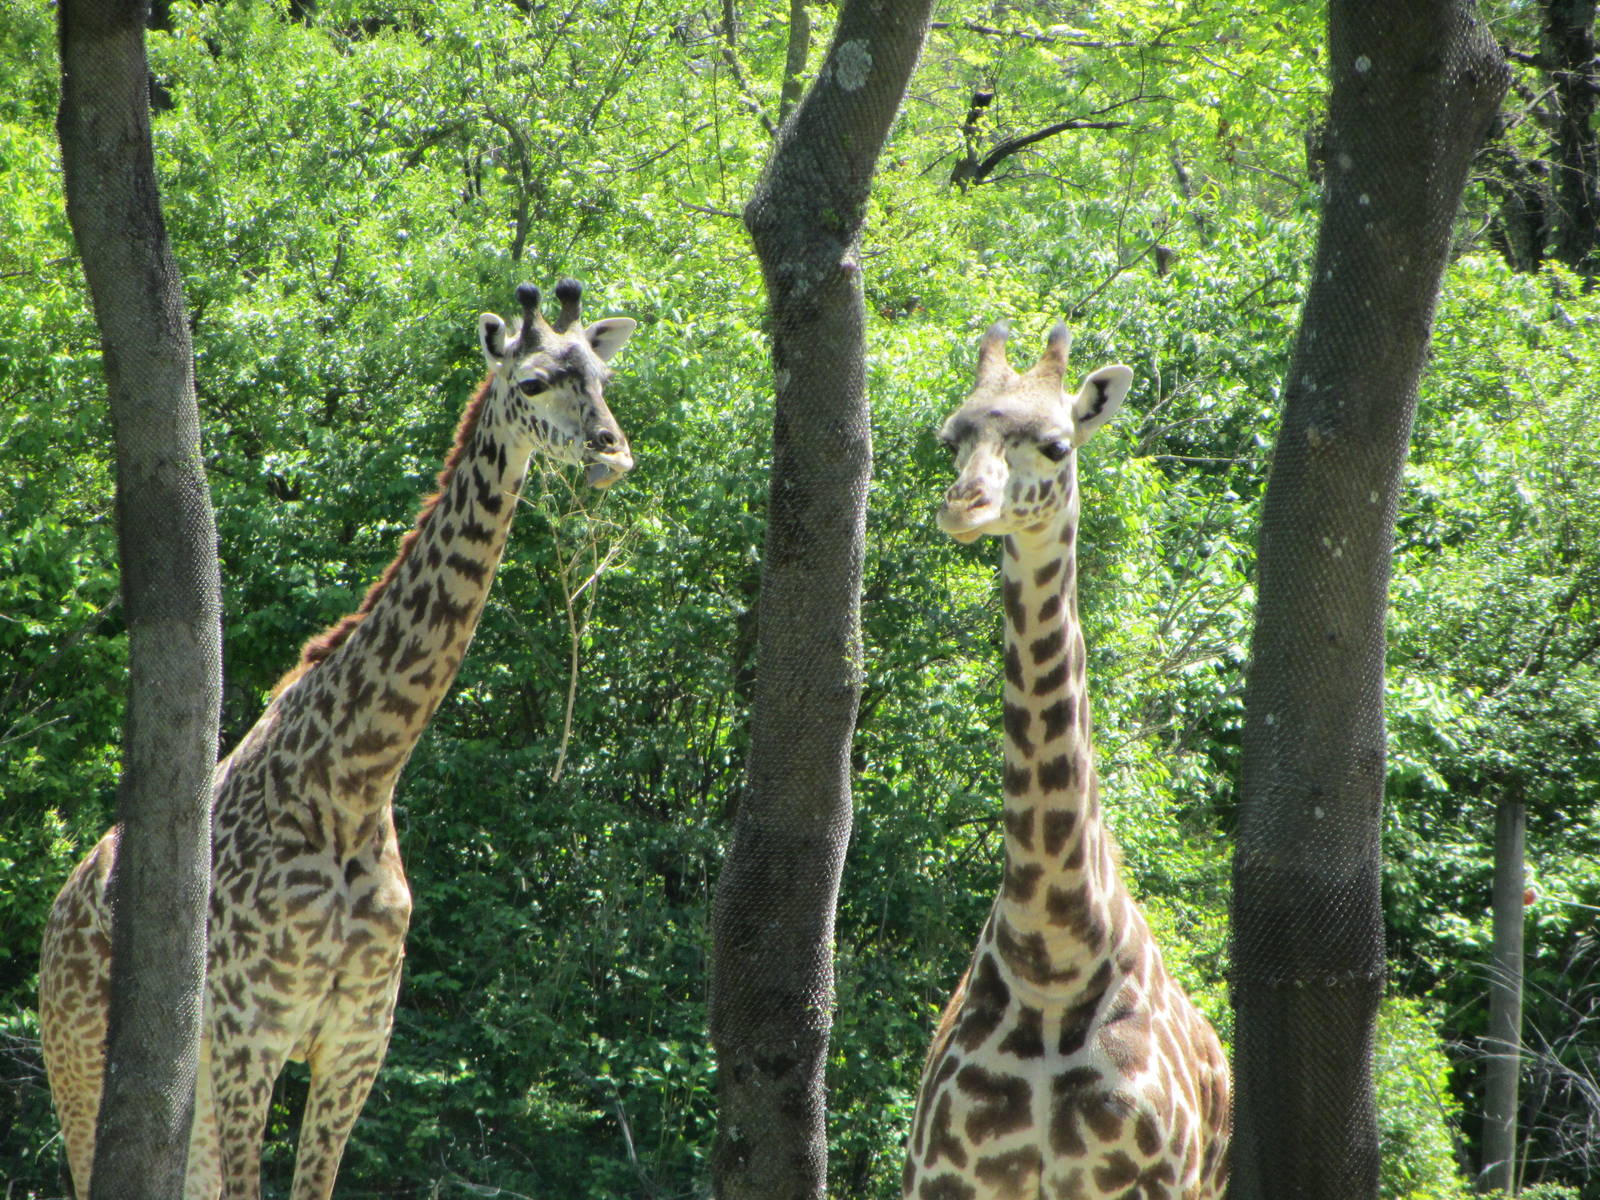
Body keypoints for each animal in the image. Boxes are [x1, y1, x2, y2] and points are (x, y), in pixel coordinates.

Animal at [38, 280, 637, 1200]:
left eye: (603, 377)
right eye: (533, 382)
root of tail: (56, 916)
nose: (613, 451)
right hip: (83, 1067)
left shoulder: (357, 1042)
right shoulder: (251, 1033)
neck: (355, 779)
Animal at [902, 321, 1230, 1200]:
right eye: (952, 436)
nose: (965, 505)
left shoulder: (1151, 1184)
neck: (1050, 960)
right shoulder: (943, 1178)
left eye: (1055, 443)